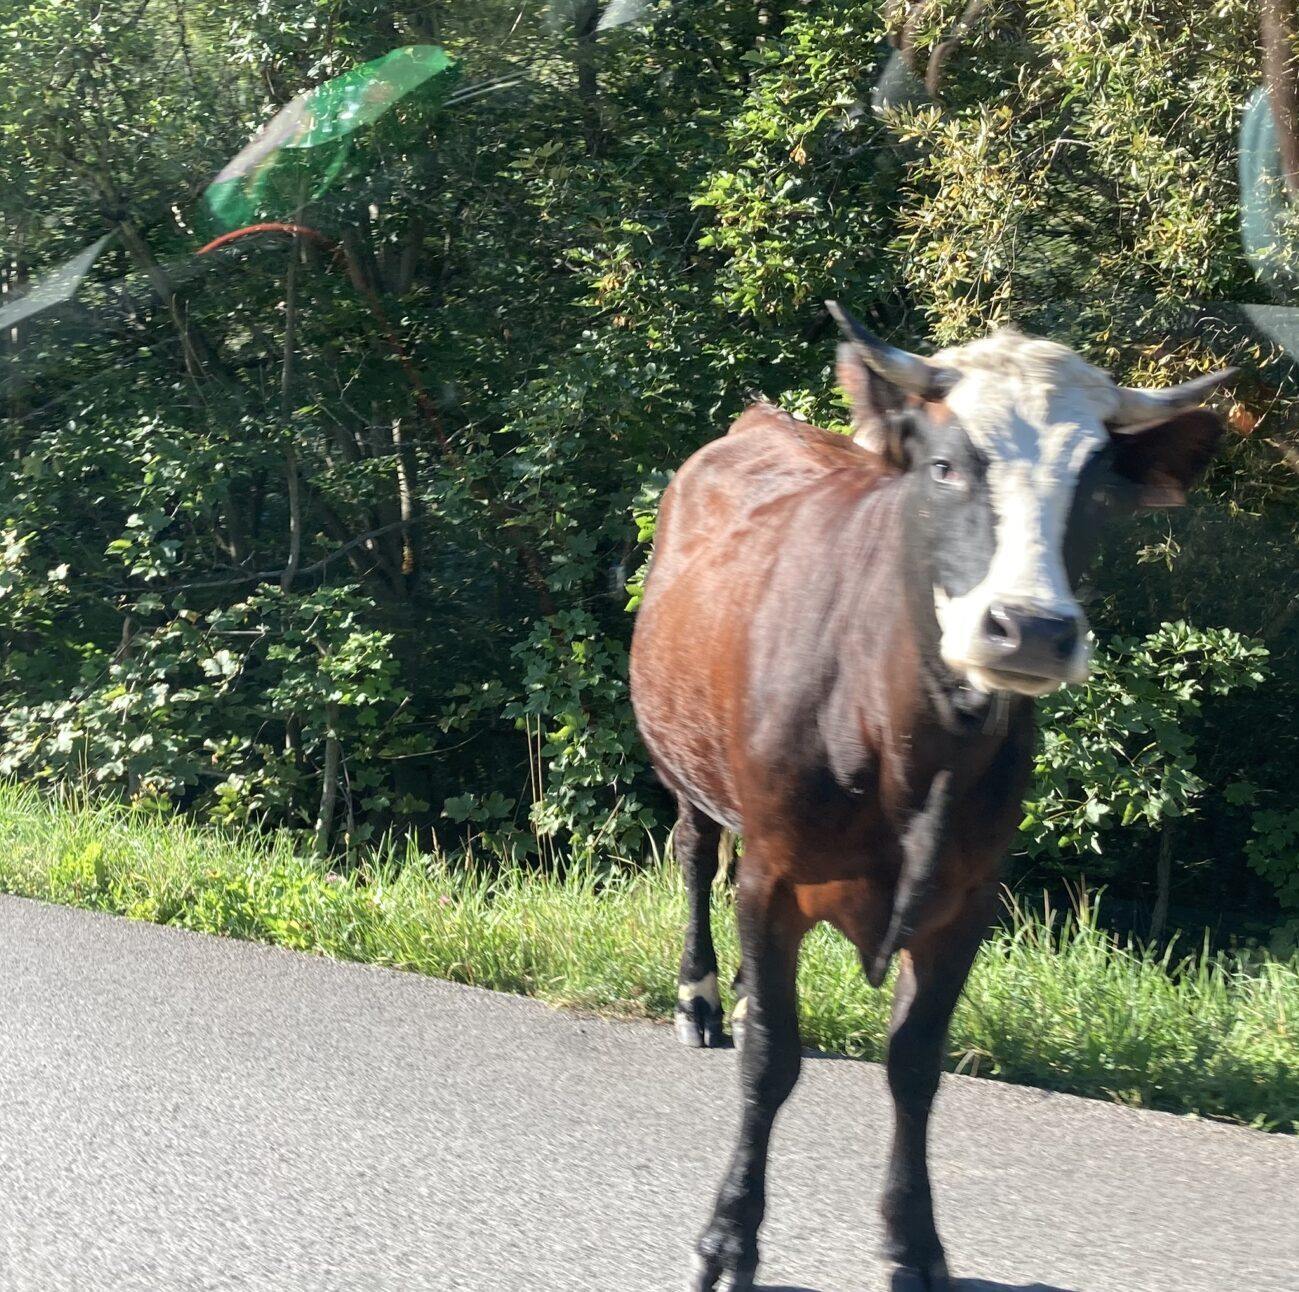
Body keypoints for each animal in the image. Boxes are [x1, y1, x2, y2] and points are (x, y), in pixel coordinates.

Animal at [628, 302, 1233, 1292]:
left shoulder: (965, 898)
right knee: (695, 857)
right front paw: (727, 1240)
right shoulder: (778, 874)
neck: (913, 753)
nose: (1030, 627)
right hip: (687, 766)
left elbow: (914, 1067)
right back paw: (704, 1000)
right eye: (946, 466)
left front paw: (914, 1248)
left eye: (1095, 492)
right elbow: (769, 1065)